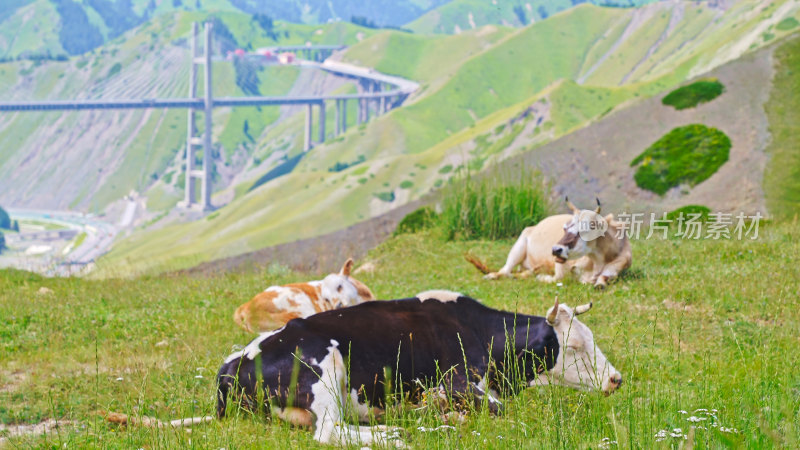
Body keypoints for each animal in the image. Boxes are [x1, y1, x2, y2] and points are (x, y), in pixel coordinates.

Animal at [216, 294, 620, 444]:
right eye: (574, 346)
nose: (616, 379)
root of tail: (234, 363)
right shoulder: (456, 381)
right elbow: (500, 410)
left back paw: (402, 426)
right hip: (324, 368)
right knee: (329, 432)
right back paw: (397, 435)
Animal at [468, 199, 632, 290]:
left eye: (585, 229)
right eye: (564, 228)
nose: (555, 250)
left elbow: (602, 282)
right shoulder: (560, 266)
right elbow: (558, 278)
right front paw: (542, 278)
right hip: (519, 245)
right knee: (505, 271)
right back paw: (493, 275)